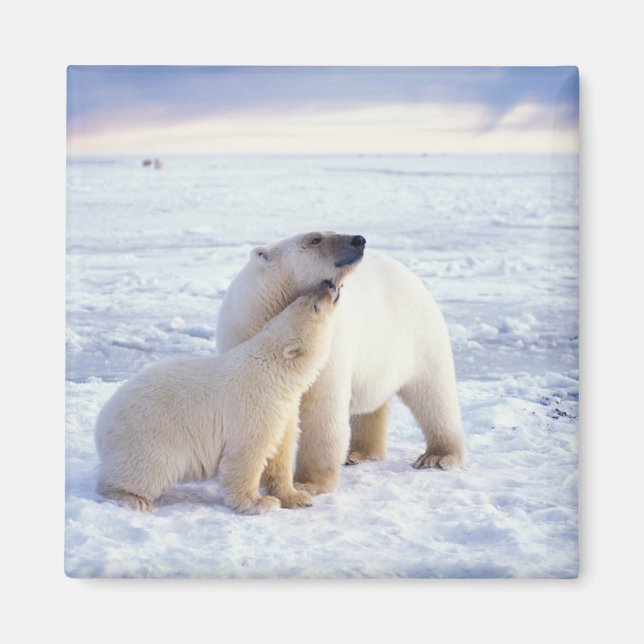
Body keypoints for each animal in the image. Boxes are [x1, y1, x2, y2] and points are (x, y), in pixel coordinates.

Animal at [95, 282, 340, 514]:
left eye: (302, 298)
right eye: (314, 306)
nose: (329, 285)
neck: (275, 371)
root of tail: (101, 425)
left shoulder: (284, 410)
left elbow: (280, 453)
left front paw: (298, 498)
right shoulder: (256, 405)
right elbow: (247, 454)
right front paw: (259, 502)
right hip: (149, 437)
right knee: (150, 469)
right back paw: (132, 498)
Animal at [216, 231, 467, 495]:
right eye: (315, 239)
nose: (359, 240)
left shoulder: (328, 343)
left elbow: (322, 408)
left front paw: (308, 483)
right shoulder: (243, 337)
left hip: (420, 337)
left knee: (433, 395)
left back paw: (437, 457)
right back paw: (359, 452)